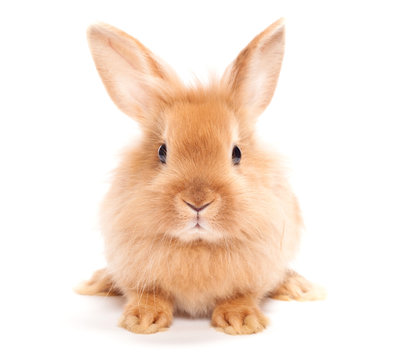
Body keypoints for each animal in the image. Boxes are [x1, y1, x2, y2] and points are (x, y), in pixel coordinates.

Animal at [75, 19, 326, 334]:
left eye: (236, 153)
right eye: (162, 151)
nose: (197, 202)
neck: (197, 245)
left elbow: (243, 294)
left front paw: (241, 321)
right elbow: (147, 294)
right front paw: (142, 321)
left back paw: (298, 287)